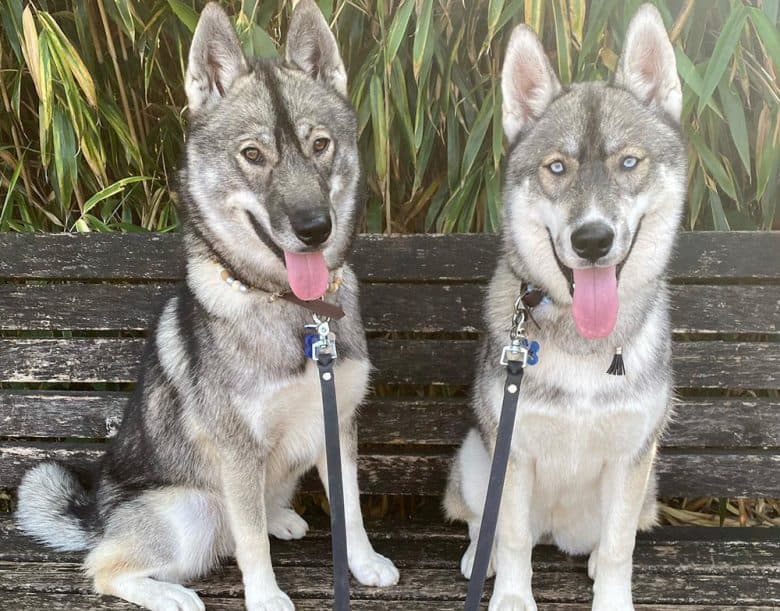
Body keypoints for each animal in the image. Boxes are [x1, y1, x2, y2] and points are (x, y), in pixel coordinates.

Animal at [15, 2, 400, 608]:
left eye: (320, 145)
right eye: (253, 155)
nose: (315, 228)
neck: (290, 308)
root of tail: (98, 515)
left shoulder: (337, 423)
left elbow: (352, 510)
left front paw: (362, 564)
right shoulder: (237, 451)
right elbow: (250, 541)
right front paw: (265, 596)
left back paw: (279, 516)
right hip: (188, 512)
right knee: (105, 566)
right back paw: (171, 594)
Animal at [442, 5, 684, 611]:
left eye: (628, 162)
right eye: (557, 167)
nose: (592, 239)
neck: (583, 344)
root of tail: (557, 530)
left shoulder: (632, 460)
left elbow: (621, 547)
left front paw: (613, 596)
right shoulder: (511, 453)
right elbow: (508, 541)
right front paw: (509, 596)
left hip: (648, 484)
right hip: (475, 454)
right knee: (485, 522)